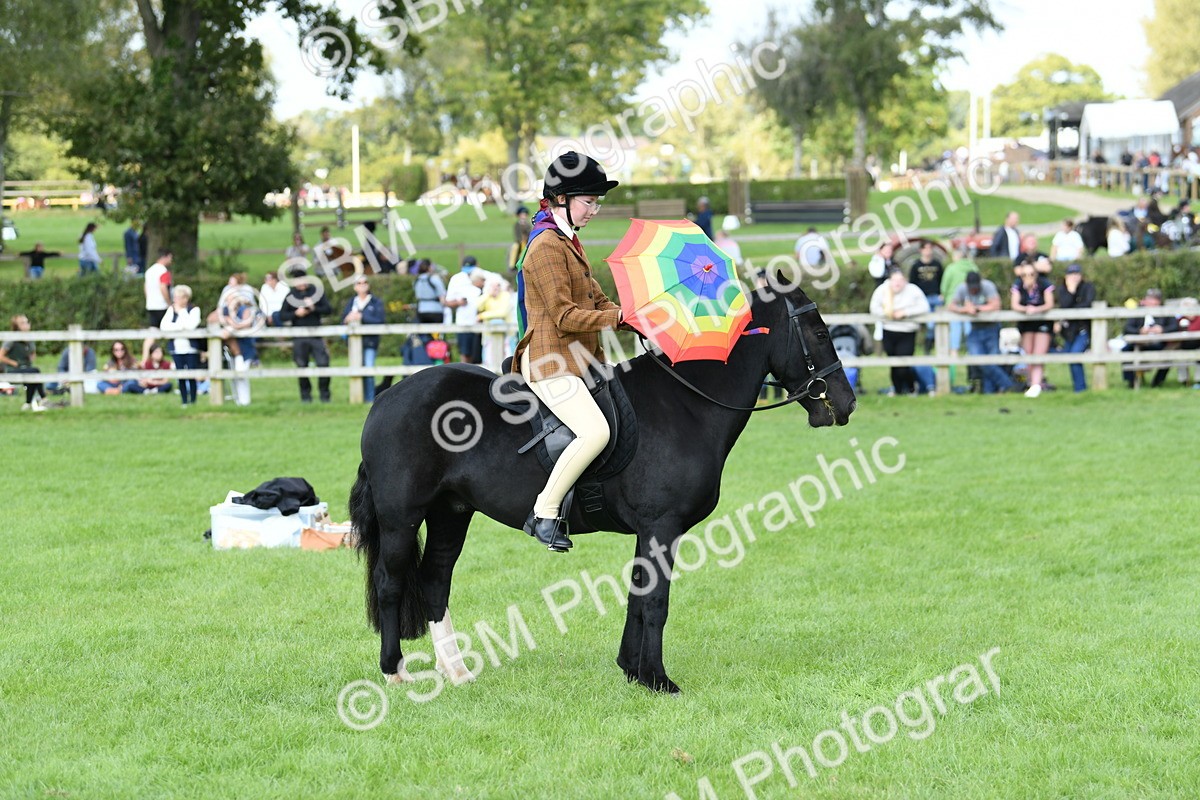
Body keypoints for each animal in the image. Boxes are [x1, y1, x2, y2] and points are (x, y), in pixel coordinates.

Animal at [348, 280, 857, 694]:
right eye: (819, 333)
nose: (846, 402)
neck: (686, 402)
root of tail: (388, 396)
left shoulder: (649, 532)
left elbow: (637, 596)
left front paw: (633, 671)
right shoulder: (661, 527)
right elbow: (656, 602)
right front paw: (659, 680)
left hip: (451, 513)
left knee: (436, 580)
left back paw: (455, 671)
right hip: (401, 518)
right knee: (391, 583)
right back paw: (394, 671)